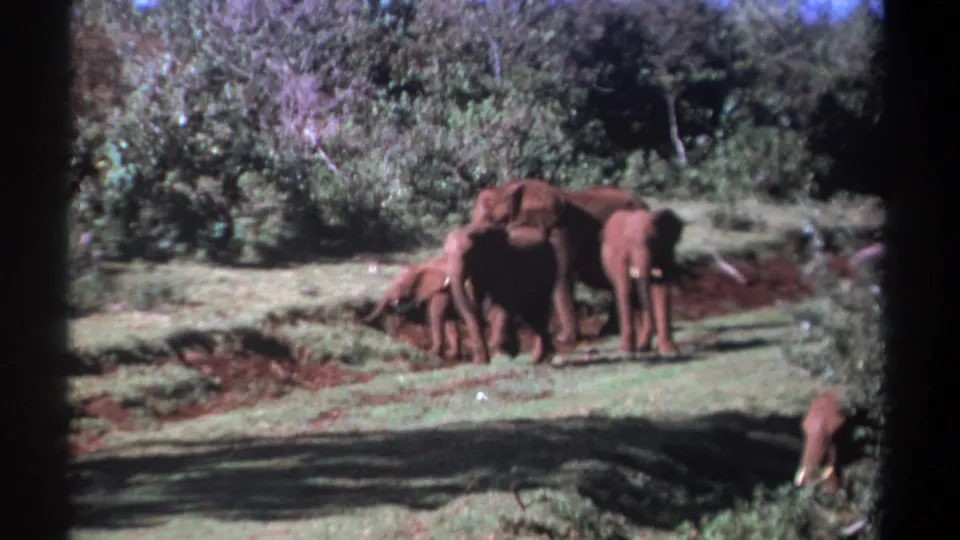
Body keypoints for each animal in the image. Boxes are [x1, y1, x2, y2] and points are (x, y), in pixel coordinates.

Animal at [444, 222, 561, 365]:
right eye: (446, 255)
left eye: (467, 255)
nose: (482, 361)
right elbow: (475, 302)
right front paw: (480, 362)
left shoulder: (503, 266)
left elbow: (500, 308)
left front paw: (499, 358)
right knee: (532, 314)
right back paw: (537, 359)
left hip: (549, 272)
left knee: (538, 308)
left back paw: (540, 359)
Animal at [600, 207, 685, 357]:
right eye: (629, 241)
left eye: (654, 240)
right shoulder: (620, 257)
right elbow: (625, 290)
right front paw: (625, 352)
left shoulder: (666, 252)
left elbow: (662, 291)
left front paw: (670, 351)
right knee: (633, 299)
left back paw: (644, 346)